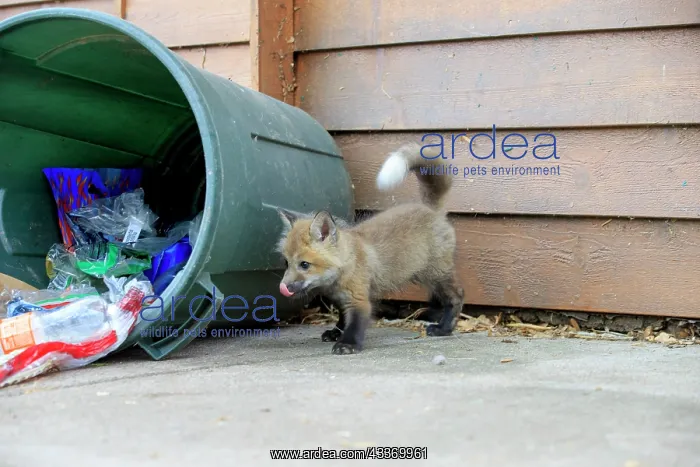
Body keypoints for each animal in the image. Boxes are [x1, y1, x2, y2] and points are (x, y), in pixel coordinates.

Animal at [274, 142, 464, 354]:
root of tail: (429, 208)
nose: (283, 287)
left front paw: (347, 344)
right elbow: (343, 319)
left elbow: (355, 324)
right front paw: (336, 332)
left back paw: (443, 328)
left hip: (435, 275)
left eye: (305, 264)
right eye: (286, 263)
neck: (345, 267)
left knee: (457, 297)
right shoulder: (342, 300)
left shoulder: (359, 299)